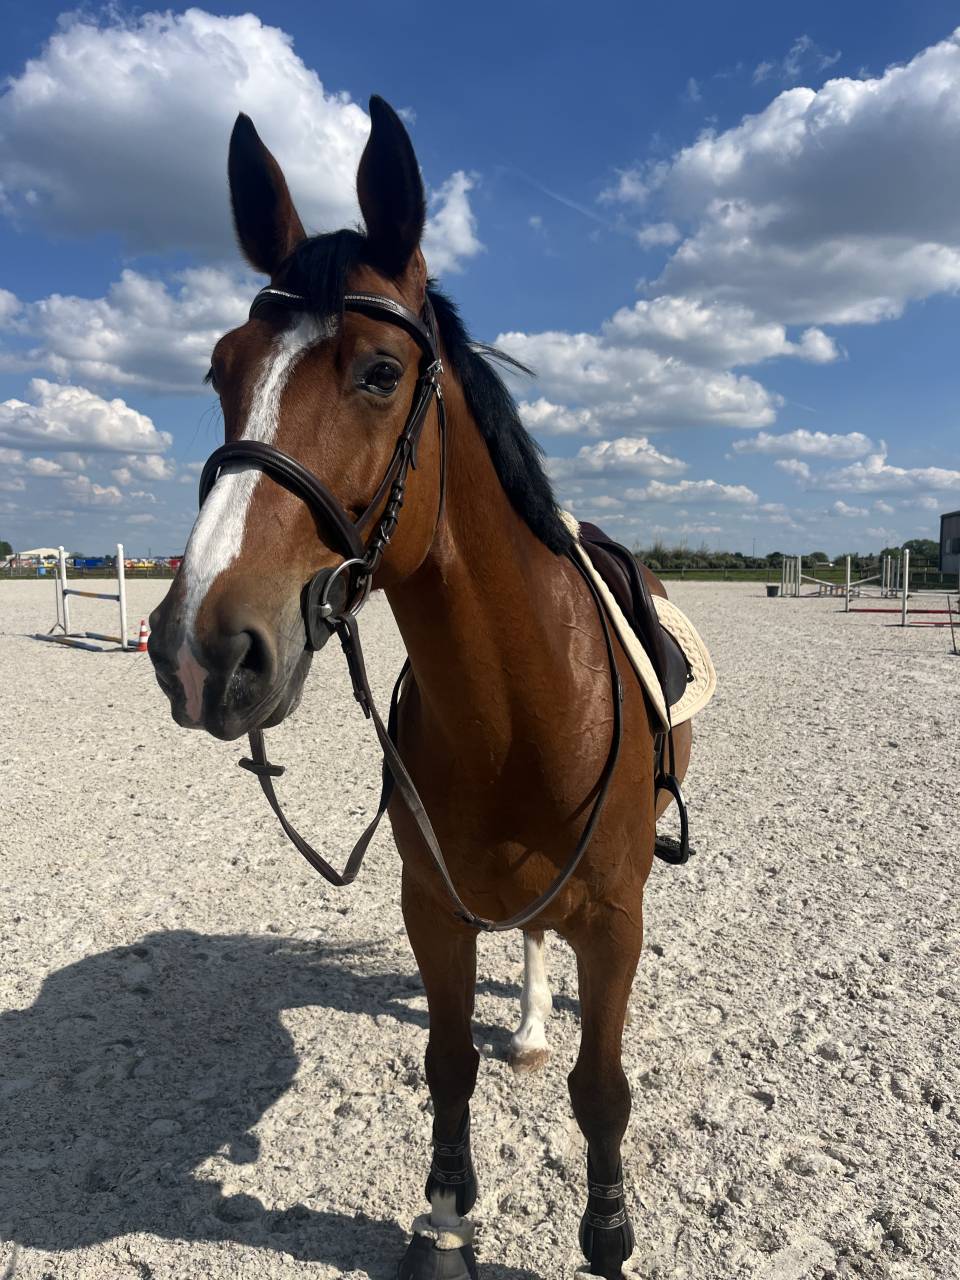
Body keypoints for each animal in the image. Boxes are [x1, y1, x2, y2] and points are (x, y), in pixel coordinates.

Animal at [148, 96, 692, 1280]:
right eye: (221, 369)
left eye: (380, 373)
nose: (203, 650)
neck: (521, 715)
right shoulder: (433, 907)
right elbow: (447, 1063)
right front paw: (445, 1223)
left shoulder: (616, 919)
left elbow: (602, 1087)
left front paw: (609, 1234)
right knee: (527, 939)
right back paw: (526, 1026)